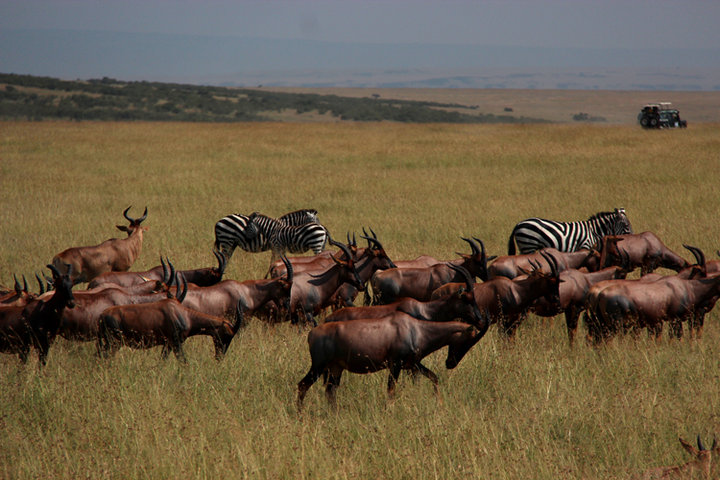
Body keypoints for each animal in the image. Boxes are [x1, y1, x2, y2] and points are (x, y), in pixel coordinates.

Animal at [97, 276, 243, 362]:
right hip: (113, 344)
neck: (182, 313)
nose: (219, 357)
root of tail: (102, 316)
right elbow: (183, 361)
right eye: (227, 334)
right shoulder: (176, 343)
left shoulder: (167, 344)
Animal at [296, 312, 490, 412]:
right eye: (468, 341)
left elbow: (434, 377)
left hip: (335, 369)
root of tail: (312, 333)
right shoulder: (395, 364)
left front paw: (440, 404)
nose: (450, 363)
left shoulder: (412, 364)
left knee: (330, 391)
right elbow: (391, 389)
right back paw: (300, 414)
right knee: (303, 385)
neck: (415, 328)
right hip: (318, 366)